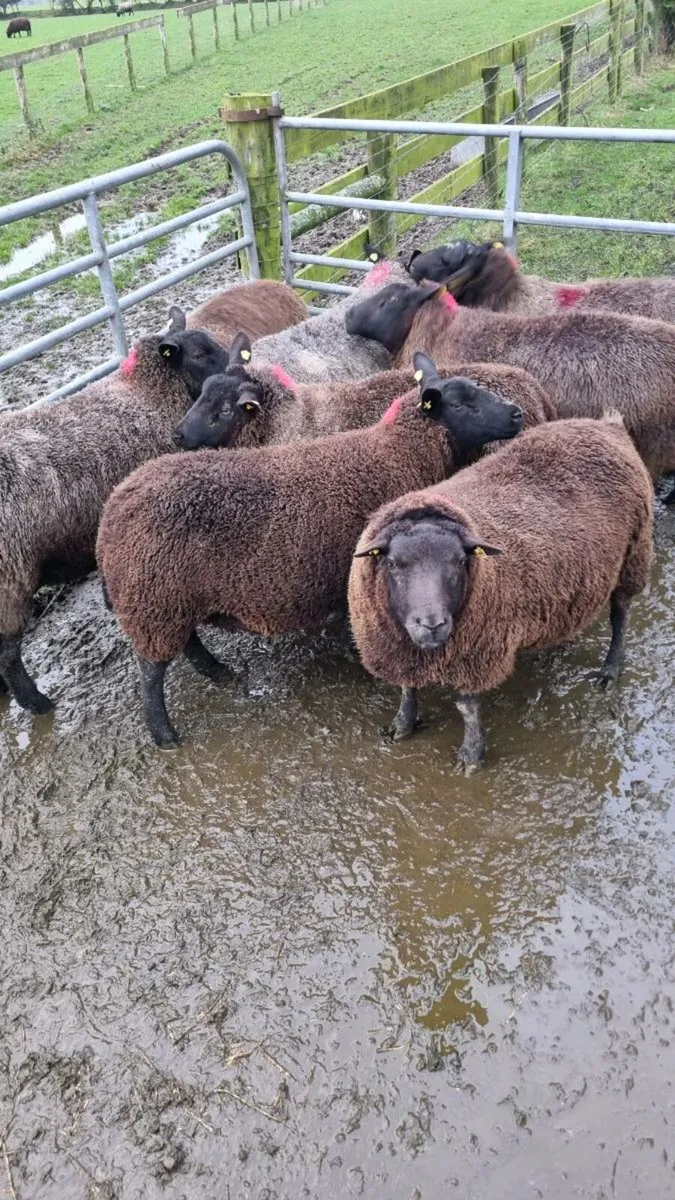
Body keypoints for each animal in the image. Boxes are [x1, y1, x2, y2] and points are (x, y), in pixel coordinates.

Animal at [96, 373, 525, 748]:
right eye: (462, 403)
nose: (517, 413)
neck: (399, 454)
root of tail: (113, 508)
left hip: (169, 600)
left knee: (188, 644)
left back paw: (219, 672)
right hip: (154, 599)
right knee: (151, 674)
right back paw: (165, 735)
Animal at [348, 415, 653, 771]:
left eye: (460, 561)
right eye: (394, 562)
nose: (432, 625)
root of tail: (605, 425)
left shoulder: (480, 650)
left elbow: (467, 708)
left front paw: (471, 755)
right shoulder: (398, 648)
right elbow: (407, 687)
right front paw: (403, 724)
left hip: (632, 557)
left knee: (620, 616)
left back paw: (610, 669)